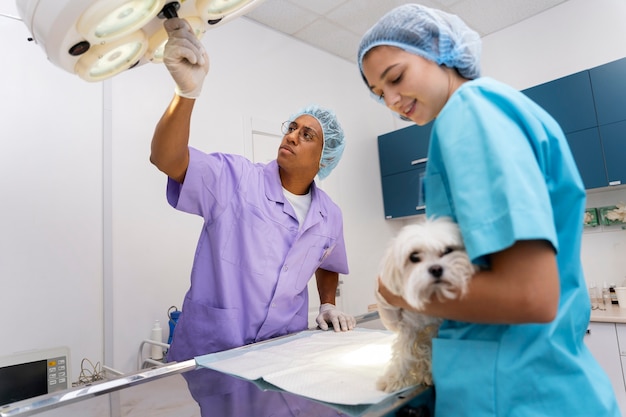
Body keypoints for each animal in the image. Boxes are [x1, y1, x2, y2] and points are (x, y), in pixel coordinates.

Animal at [372, 216, 476, 392]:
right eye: (414, 257)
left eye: (447, 251)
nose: (436, 269)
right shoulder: (409, 327)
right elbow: (404, 354)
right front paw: (393, 379)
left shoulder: (435, 328)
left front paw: (428, 374)